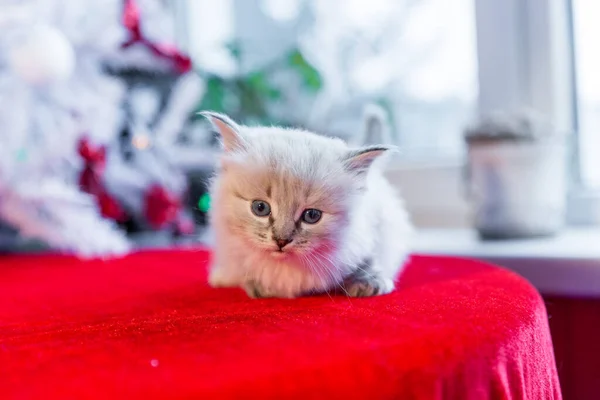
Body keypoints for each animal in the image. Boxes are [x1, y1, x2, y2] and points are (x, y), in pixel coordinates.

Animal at [202, 111, 412, 298]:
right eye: (260, 208)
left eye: (312, 216)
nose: (281, 241)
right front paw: (261, 286)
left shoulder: (370, 230)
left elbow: (369, 259)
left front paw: (368, 282)